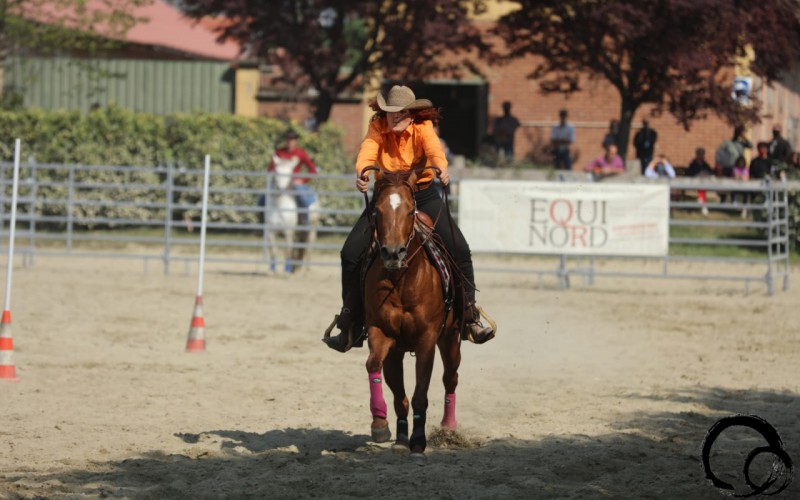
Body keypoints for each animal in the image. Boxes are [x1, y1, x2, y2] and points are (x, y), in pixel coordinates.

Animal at [360, 166, 460, 462]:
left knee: (450, 378)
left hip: (451, 338)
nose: (393, 253)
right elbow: (377, 370)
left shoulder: (427, 340)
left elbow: (420, 395)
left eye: (409, 210)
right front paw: (383, 426)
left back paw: (448, 427)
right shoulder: (383, 335)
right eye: (377, 210)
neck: (403, 281)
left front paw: (418, 442)